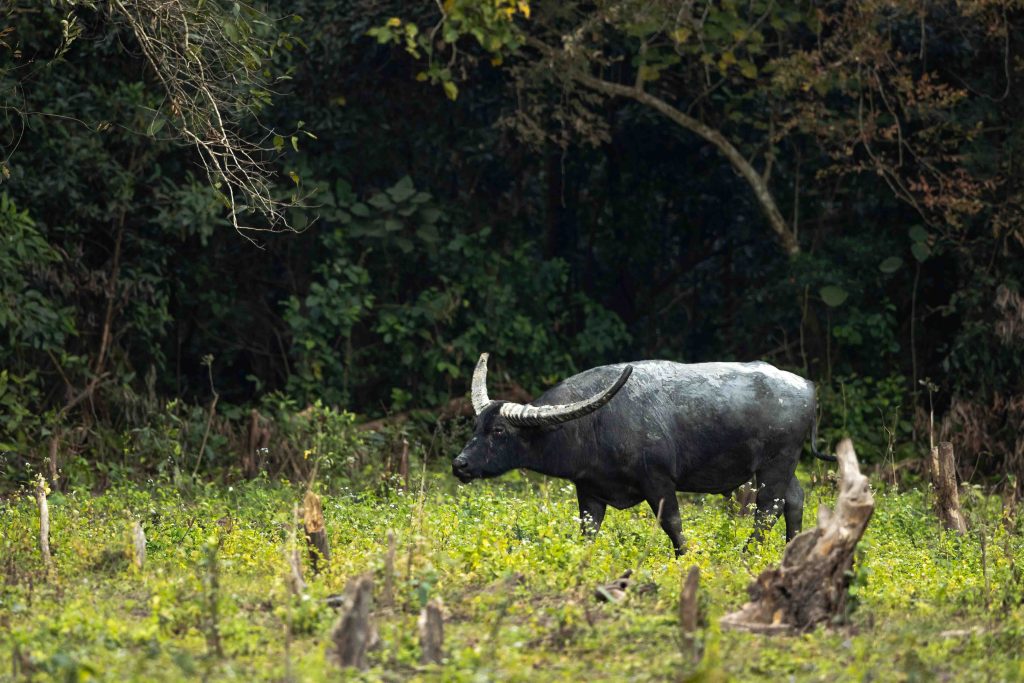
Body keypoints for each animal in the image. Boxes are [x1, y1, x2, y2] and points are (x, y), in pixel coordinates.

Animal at [452, 356, 835, 557]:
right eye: (477, 426)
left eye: (499, 432)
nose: (460, 464)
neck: (594, 424)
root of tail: (806, 386)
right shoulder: (589, 490)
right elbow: (588, 529)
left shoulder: (659, 481)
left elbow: (672, 523)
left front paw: (685, 556)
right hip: (784, 466)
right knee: (794, 499)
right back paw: (793, 548)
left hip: (775, 463)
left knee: (768, 509)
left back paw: (747, 554)